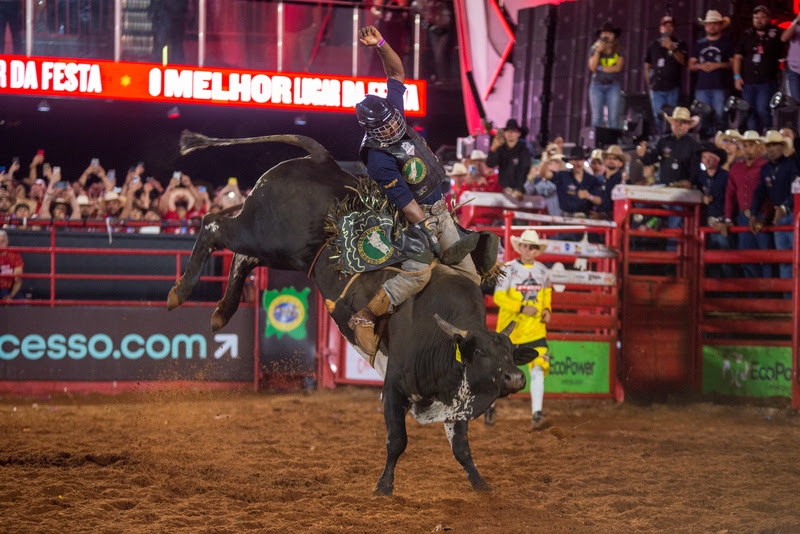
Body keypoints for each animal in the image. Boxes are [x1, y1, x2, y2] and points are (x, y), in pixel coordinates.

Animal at [167, 134, 532, 498]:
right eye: (480, 352)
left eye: (511, 352)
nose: (515, 378)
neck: (442, 337)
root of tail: (321, 159)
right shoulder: (394, 387)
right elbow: (397, 440)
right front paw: (383, 486)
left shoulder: (453, 401)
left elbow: (461, 449)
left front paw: (482, 485)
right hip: (263, 232)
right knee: (212, 225)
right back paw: (179, 293)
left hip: (279, 251)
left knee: (242, 258)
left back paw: (220, 313)